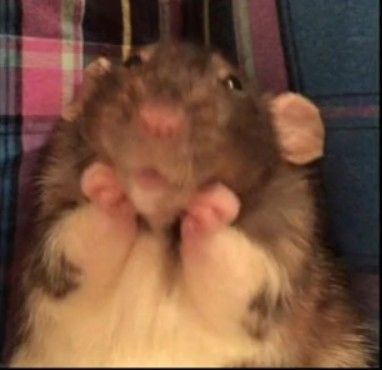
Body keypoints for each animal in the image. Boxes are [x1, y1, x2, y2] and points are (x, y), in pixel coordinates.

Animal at [7, 42, 372, 366]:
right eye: (133, 62)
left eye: (233, 83)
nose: (158, 119)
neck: (158, 226)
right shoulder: (56, 265)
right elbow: (77, 251)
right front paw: (108, 186)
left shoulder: (275, 268)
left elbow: (239, 276)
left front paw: (211, 205)